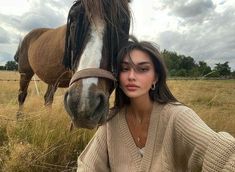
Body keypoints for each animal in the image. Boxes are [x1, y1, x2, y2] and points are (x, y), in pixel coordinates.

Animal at [15, 0, 130, 129]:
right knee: (22, 96)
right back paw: (19, 120)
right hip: (25, 74)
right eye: (74, 20)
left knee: (48, 98)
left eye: (123, 21)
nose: (85, 105)